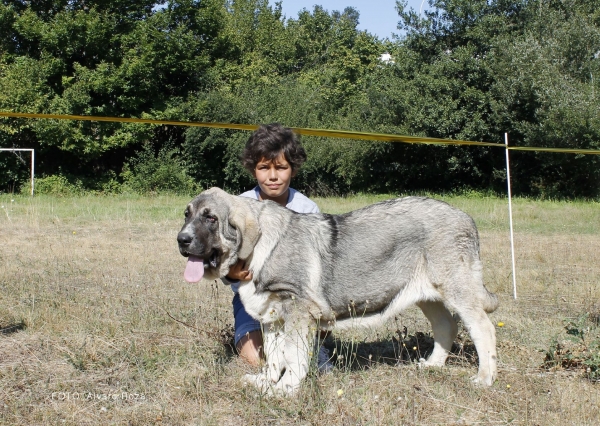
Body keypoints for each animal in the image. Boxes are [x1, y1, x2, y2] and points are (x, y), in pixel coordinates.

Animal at [177, 188, 496, 394]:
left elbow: (292, 355)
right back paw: (432, 365)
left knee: (483, 328)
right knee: (447, 325)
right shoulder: (274, 316)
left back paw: (484, 378)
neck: (260, 247)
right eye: (187, 215)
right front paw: (266, 381)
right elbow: (274, 355)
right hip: (428, 296)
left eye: (211, 218)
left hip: (457, 288)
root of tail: (467, 219)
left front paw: (285, 388)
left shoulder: (297, 311)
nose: (182, 240)